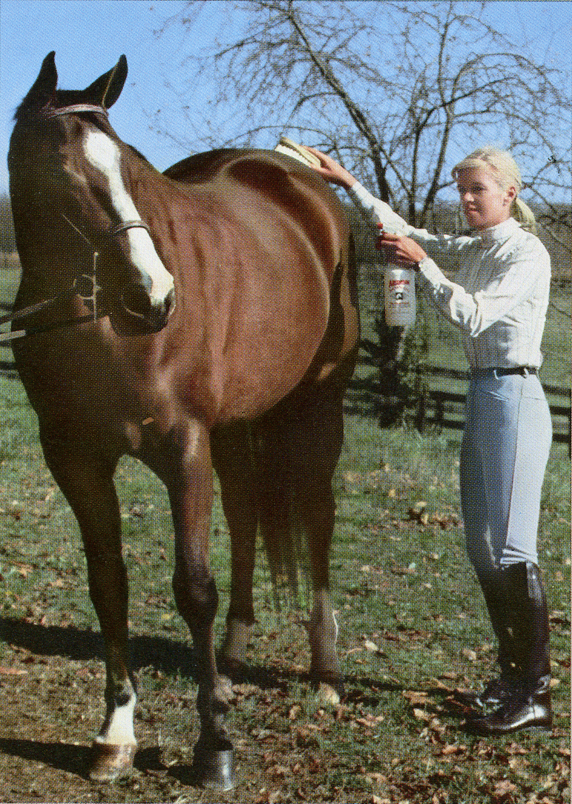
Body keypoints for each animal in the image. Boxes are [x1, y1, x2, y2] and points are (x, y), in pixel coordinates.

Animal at [7, 52, 359, 789]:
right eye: (61, 171)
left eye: (127, 167)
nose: (155, 295)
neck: (102, 328)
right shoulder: (75, 458)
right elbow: (108, 584)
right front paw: (116, 732)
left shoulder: (182, 448)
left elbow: (194, 589)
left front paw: (214, 744)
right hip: (233, 428)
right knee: (248, 510)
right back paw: (232, 657)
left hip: (317, 409)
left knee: (316, 517)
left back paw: (324, 672)